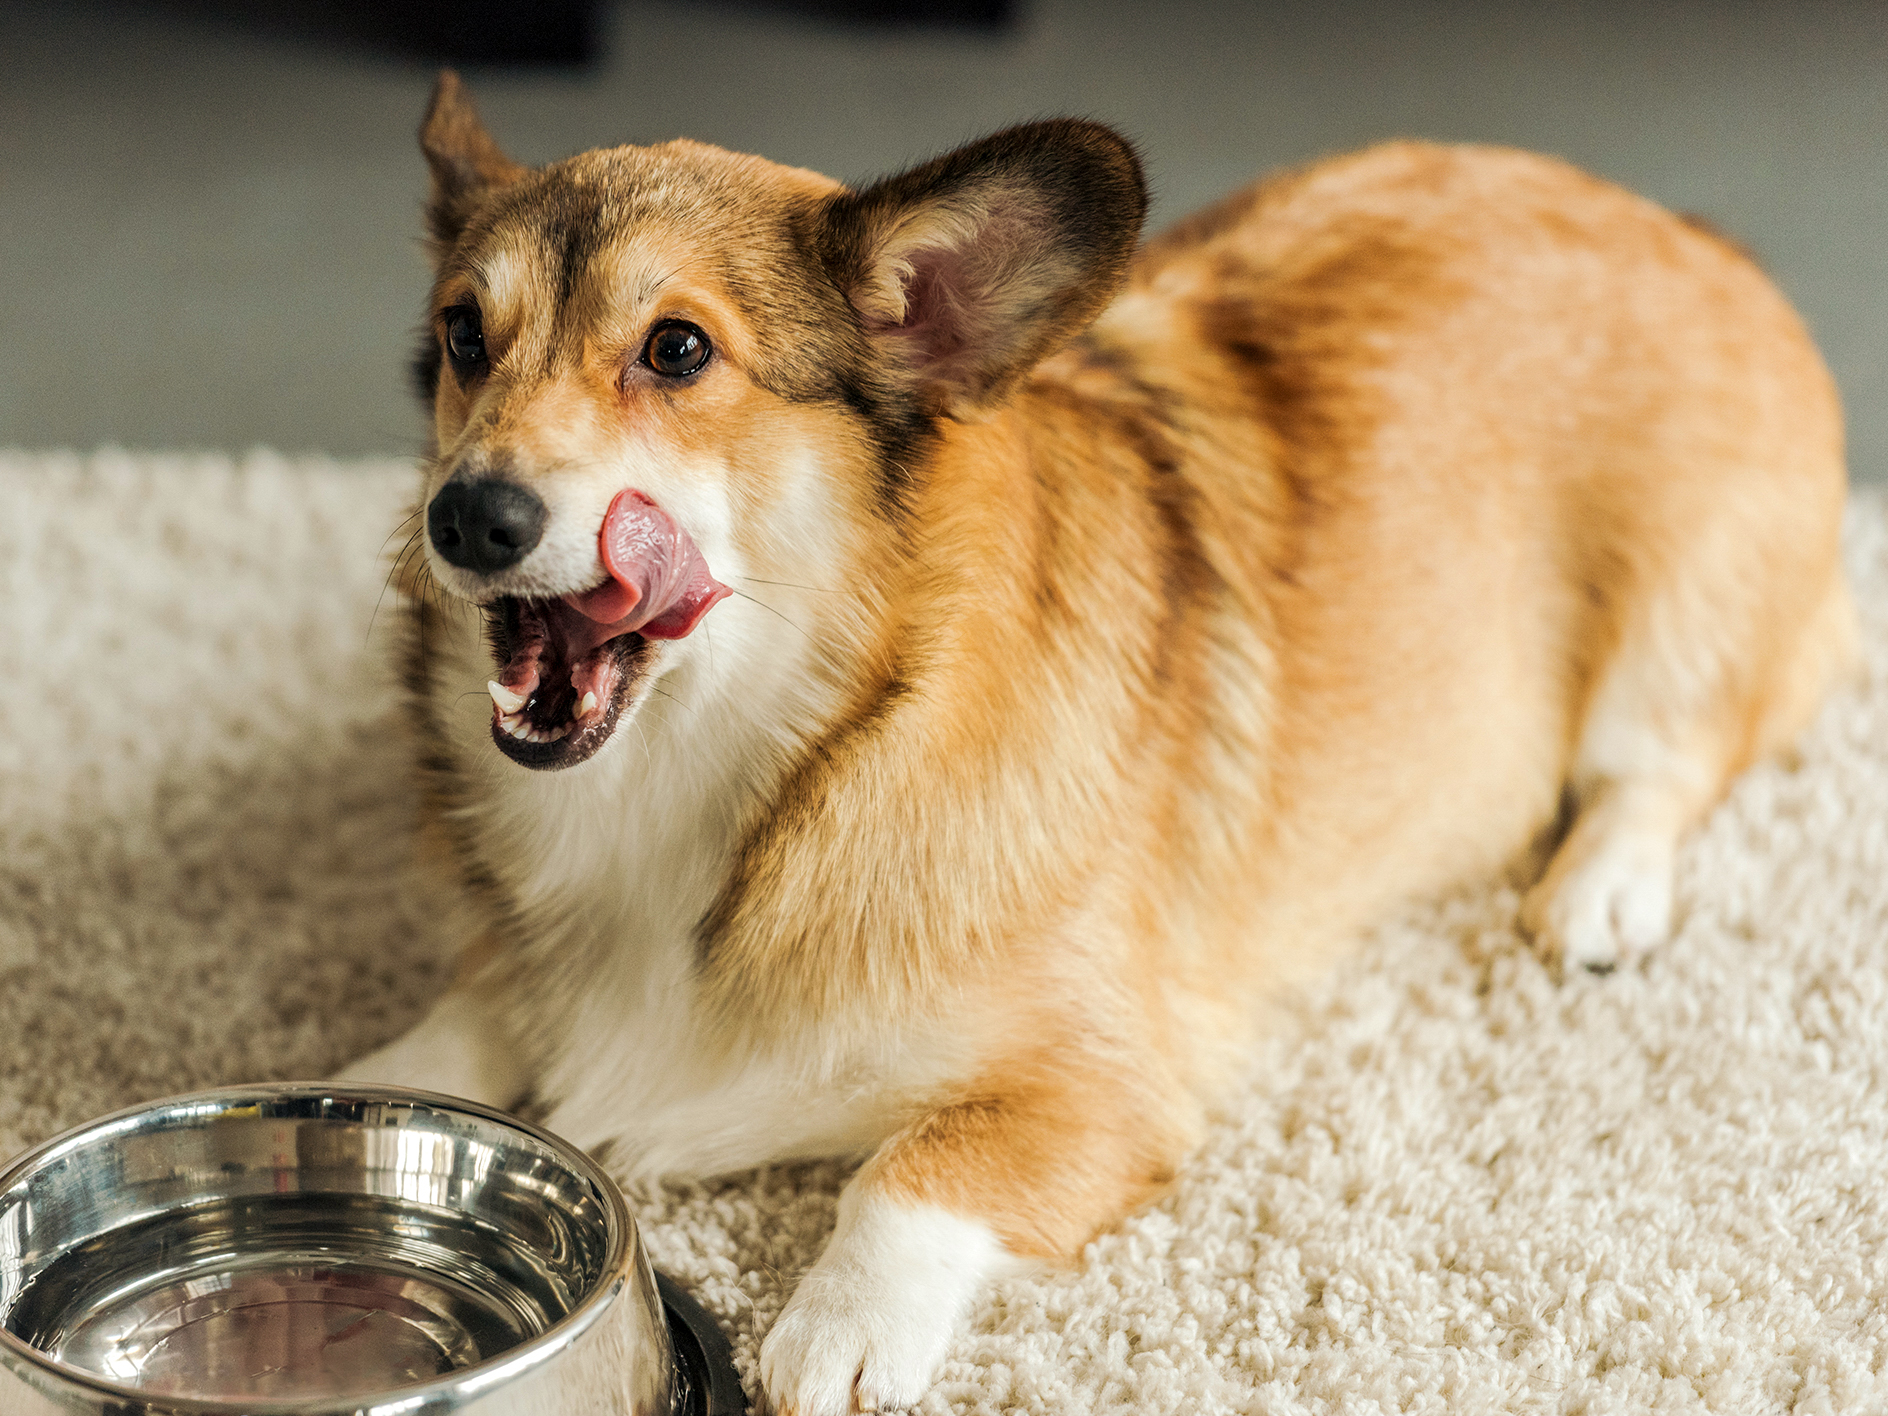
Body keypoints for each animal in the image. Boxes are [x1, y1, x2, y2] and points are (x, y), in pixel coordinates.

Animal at [336, 75, 1842, 1416]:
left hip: (1679, 614)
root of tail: (1682, 225)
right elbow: (458, 1029)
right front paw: (355, 1092)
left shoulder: (1104, 1085)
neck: (766, 758)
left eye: (678, 352)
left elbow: (908, 1171)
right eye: (464, 334)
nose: (469, 516)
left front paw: (838, 1330)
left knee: (1662, 762)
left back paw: (1601, 894)